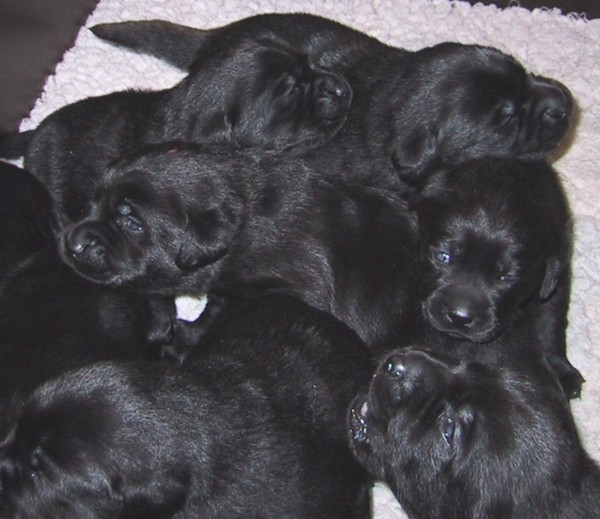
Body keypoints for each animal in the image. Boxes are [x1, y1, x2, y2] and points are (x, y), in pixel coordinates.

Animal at [410, 160, 584, 400]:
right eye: (443, 257)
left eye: (506, 277)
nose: (459, 318)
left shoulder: (557, 267)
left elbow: (550, 321)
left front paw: (560, 370)